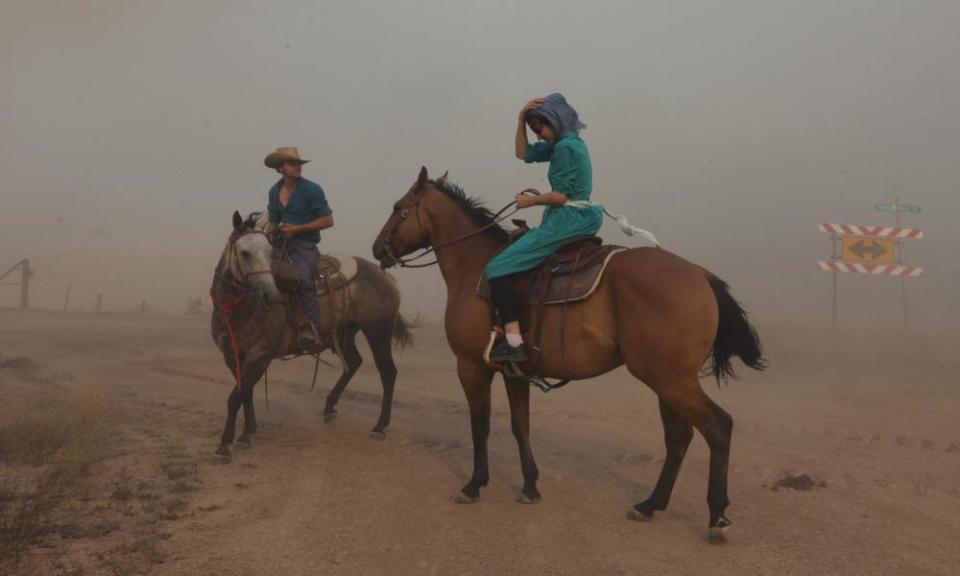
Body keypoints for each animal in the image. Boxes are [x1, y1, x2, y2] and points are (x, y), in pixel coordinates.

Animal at [212, 209, 410, 462]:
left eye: (268, 253)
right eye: (245, 252)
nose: (270, 294)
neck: (239, 309)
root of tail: (386, 277)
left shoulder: (260, 355)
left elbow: (236, 396)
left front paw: (225, 445)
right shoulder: (233, 355)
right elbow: (245, 392)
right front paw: (247, 433)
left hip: (378, 332)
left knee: (388, 372)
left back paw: (379, 426)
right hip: (347, 331)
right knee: (354, 362)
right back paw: (329, 407)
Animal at [376, 169, 764, 544]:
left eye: (399, 208)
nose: (378, 248)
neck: (475, 268)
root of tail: (701, 275)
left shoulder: (471, 366)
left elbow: (480, 426)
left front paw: (474, 485)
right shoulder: (514, 372)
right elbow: (520, 425)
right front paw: (530, 486)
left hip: (670, 380)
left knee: (717, 426)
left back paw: (717, 516)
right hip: (668, 381)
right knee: (679, 438)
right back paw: (650, 504)